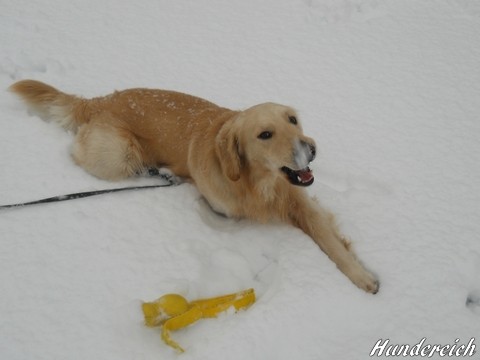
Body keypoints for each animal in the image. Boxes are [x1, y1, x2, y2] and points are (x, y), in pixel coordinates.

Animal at [9, 80, 378, 294]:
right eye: (265, 134)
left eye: (293, 120)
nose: (311, 148)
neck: (256, 184)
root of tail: (98, 101)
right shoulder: (228, 210)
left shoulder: (300, 201)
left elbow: (330, 240)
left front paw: (361, 274)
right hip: (118, 157)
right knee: (79, 156)